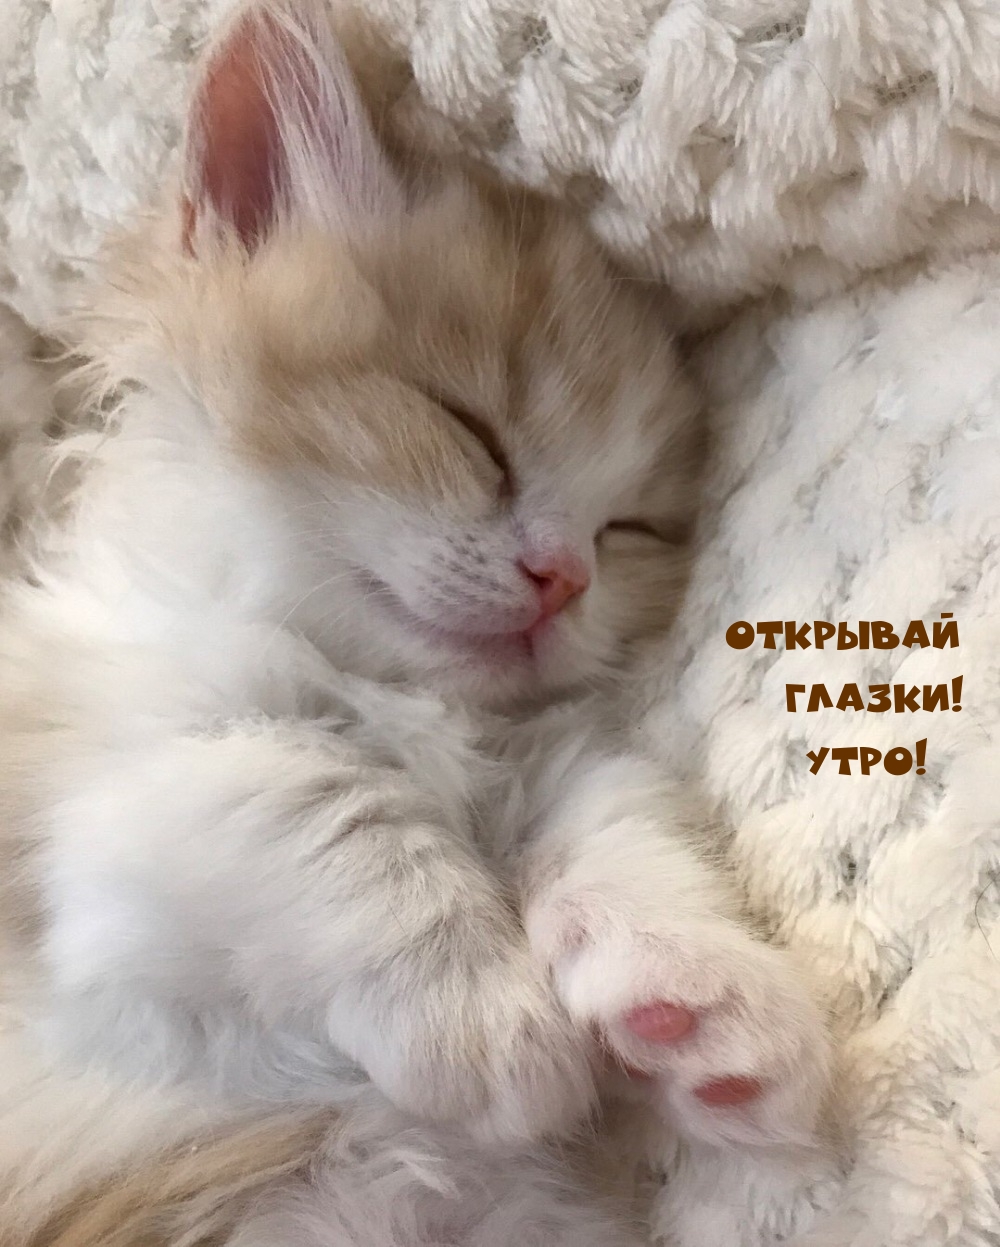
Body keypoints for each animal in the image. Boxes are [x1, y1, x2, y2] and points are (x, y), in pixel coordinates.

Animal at [0, 2, 832, 1244]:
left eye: (629, 527)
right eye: (469, 431)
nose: (560, 577)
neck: (394, 693)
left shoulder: (546, 752)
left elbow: (618, 812)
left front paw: (696, 990)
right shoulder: (105, 786)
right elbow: (314, 794)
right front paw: (487, 1018)